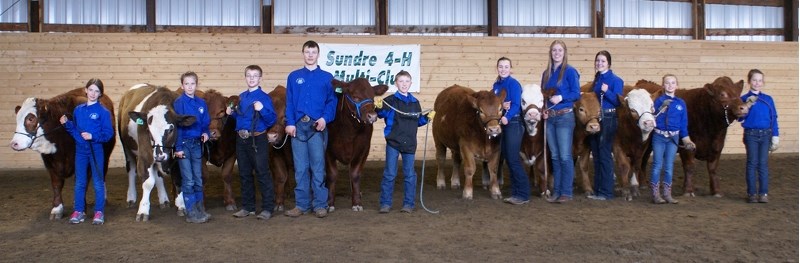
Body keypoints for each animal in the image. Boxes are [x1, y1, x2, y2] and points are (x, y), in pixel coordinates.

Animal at [9, 88, 115, 221]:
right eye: (17, 119)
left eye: (31, 118)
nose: (14, 143)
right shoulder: (50, 162)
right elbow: (57, 184)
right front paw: (57, 209)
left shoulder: (84, 163)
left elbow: (82, 182)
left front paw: (81, 208)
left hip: (105, 157)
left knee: (102, 175)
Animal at [119, 83, 197, 222]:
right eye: (149, 130)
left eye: (171, 129)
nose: (159, 155)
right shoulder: (145, 156)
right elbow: (148, 182)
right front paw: (143, 210)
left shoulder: (178, 158)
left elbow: (178, 179)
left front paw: (181, 205)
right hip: (127, 148)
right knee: (131, 170)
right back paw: (131, 197)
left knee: (158, 175)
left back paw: (163, 199)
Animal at [324, 78, 388, 212]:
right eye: (355, 97)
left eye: (372, 97)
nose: (372, 116)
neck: (349, 131)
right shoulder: (327, 151)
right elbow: (332, 175)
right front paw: (329, 203)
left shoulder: (363, 150)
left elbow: (355, 175)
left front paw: (357, 202)